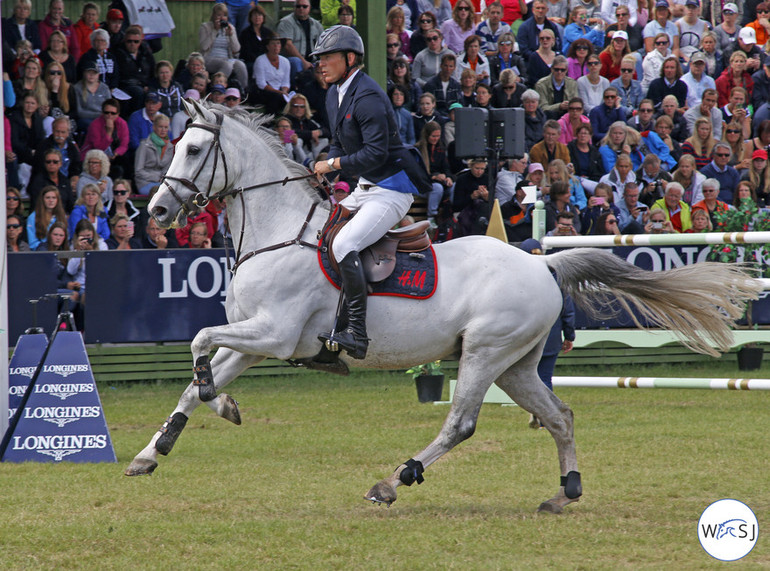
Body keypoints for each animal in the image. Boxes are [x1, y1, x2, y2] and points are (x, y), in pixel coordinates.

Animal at [126, 100, 756, 516]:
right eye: (174, 145)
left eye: (196, 149)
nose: (155, 211)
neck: (277, 231)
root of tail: (541, 265)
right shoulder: (255, 336)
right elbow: (195, 379)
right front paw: (155, 451)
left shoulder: (274, 335)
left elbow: (199, 342)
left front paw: (219, 403)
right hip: (516, 364)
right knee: (559, 415)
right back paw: (564, 490)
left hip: (484, 353)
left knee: (462, 422)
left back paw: (394, 480)